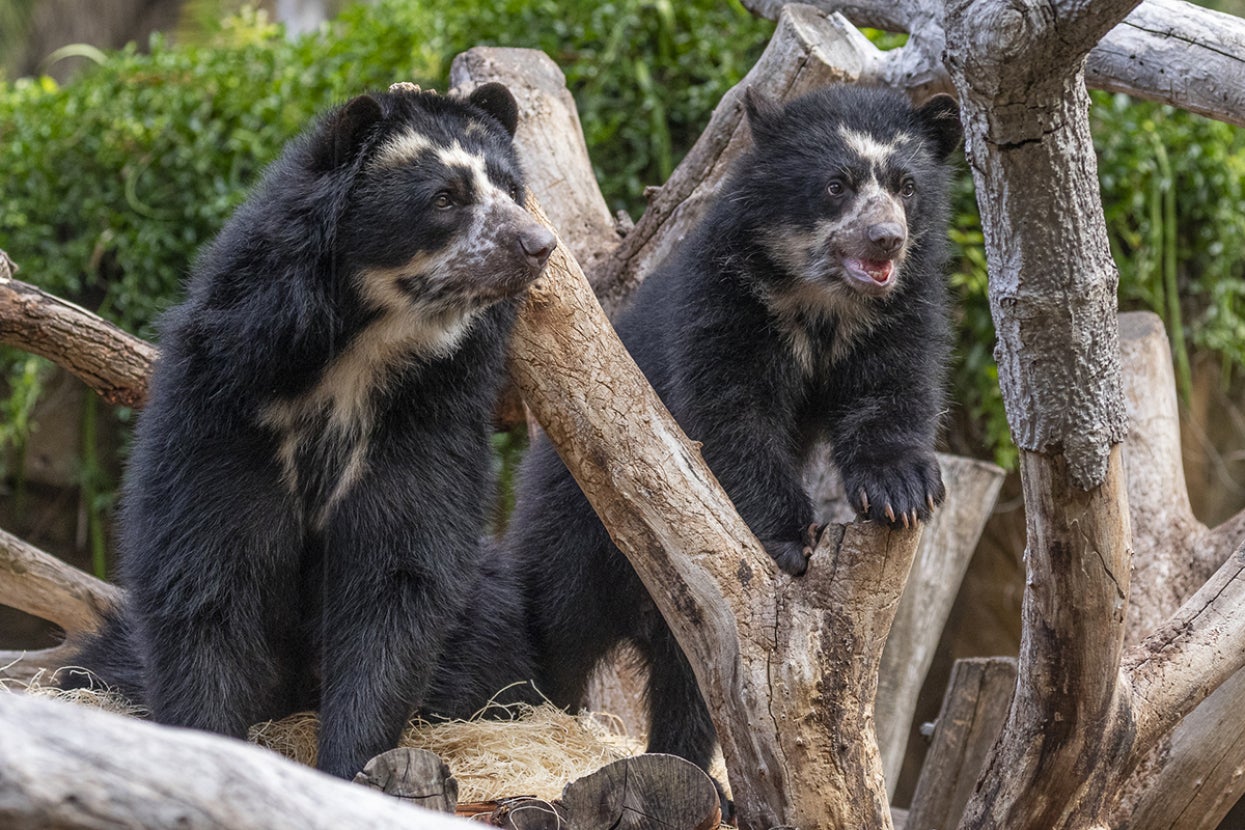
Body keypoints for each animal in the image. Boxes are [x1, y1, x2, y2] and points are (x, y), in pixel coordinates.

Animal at [61, 82, 554, 779]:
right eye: (445, 198)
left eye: (511, 189)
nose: (539, 244)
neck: (360, 348)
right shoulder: (224, 405)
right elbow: (205, 570)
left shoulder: (426, 417)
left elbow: (397, 575)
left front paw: (351, 767)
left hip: (486, 612)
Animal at [503, 84, 961, 803]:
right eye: (835, 185)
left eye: (906, 185)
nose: (886, 239)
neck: (821, 301)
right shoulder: (726, 302)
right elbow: (733, 419)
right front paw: (789, 541)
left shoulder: (897, 315)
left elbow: (890, 391)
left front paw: (903, 492)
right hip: (575, 528)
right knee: (553, 626)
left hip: (698, 620)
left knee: (697, 689)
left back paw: (698, 776)